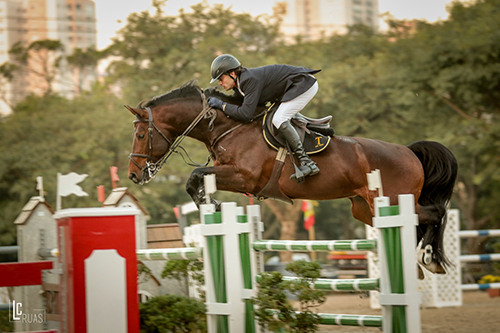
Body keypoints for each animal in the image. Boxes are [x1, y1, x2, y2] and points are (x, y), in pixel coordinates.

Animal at [125, 80, 458, 274]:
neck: (227, 126)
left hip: (393, 200)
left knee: (435, 213)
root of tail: (409, 152)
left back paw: (429, 258)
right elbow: (194, 180)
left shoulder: (244, 177)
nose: (133, 174)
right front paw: (212, 205)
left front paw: (214, 206)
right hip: (365, 208)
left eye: (141, 135)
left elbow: (195, 176)